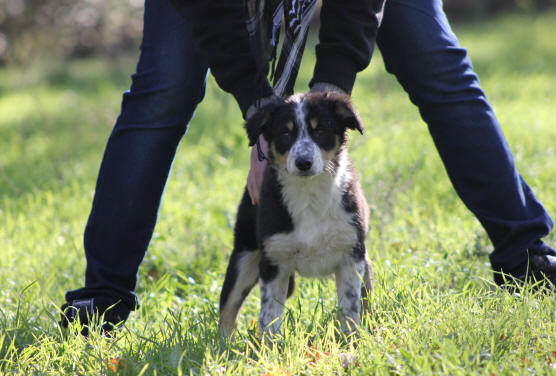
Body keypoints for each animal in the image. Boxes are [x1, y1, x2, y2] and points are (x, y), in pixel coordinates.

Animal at [219, 92, 372, 338]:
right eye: (285, 133)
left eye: (320, 130)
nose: (303, 163)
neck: (309, 195)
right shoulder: (273, 261)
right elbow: (269, 315)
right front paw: (269, 346)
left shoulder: (351, 254)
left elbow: (350, 306)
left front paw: (351, 339)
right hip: (244, 254)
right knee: (228, 307)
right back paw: (223, 343)